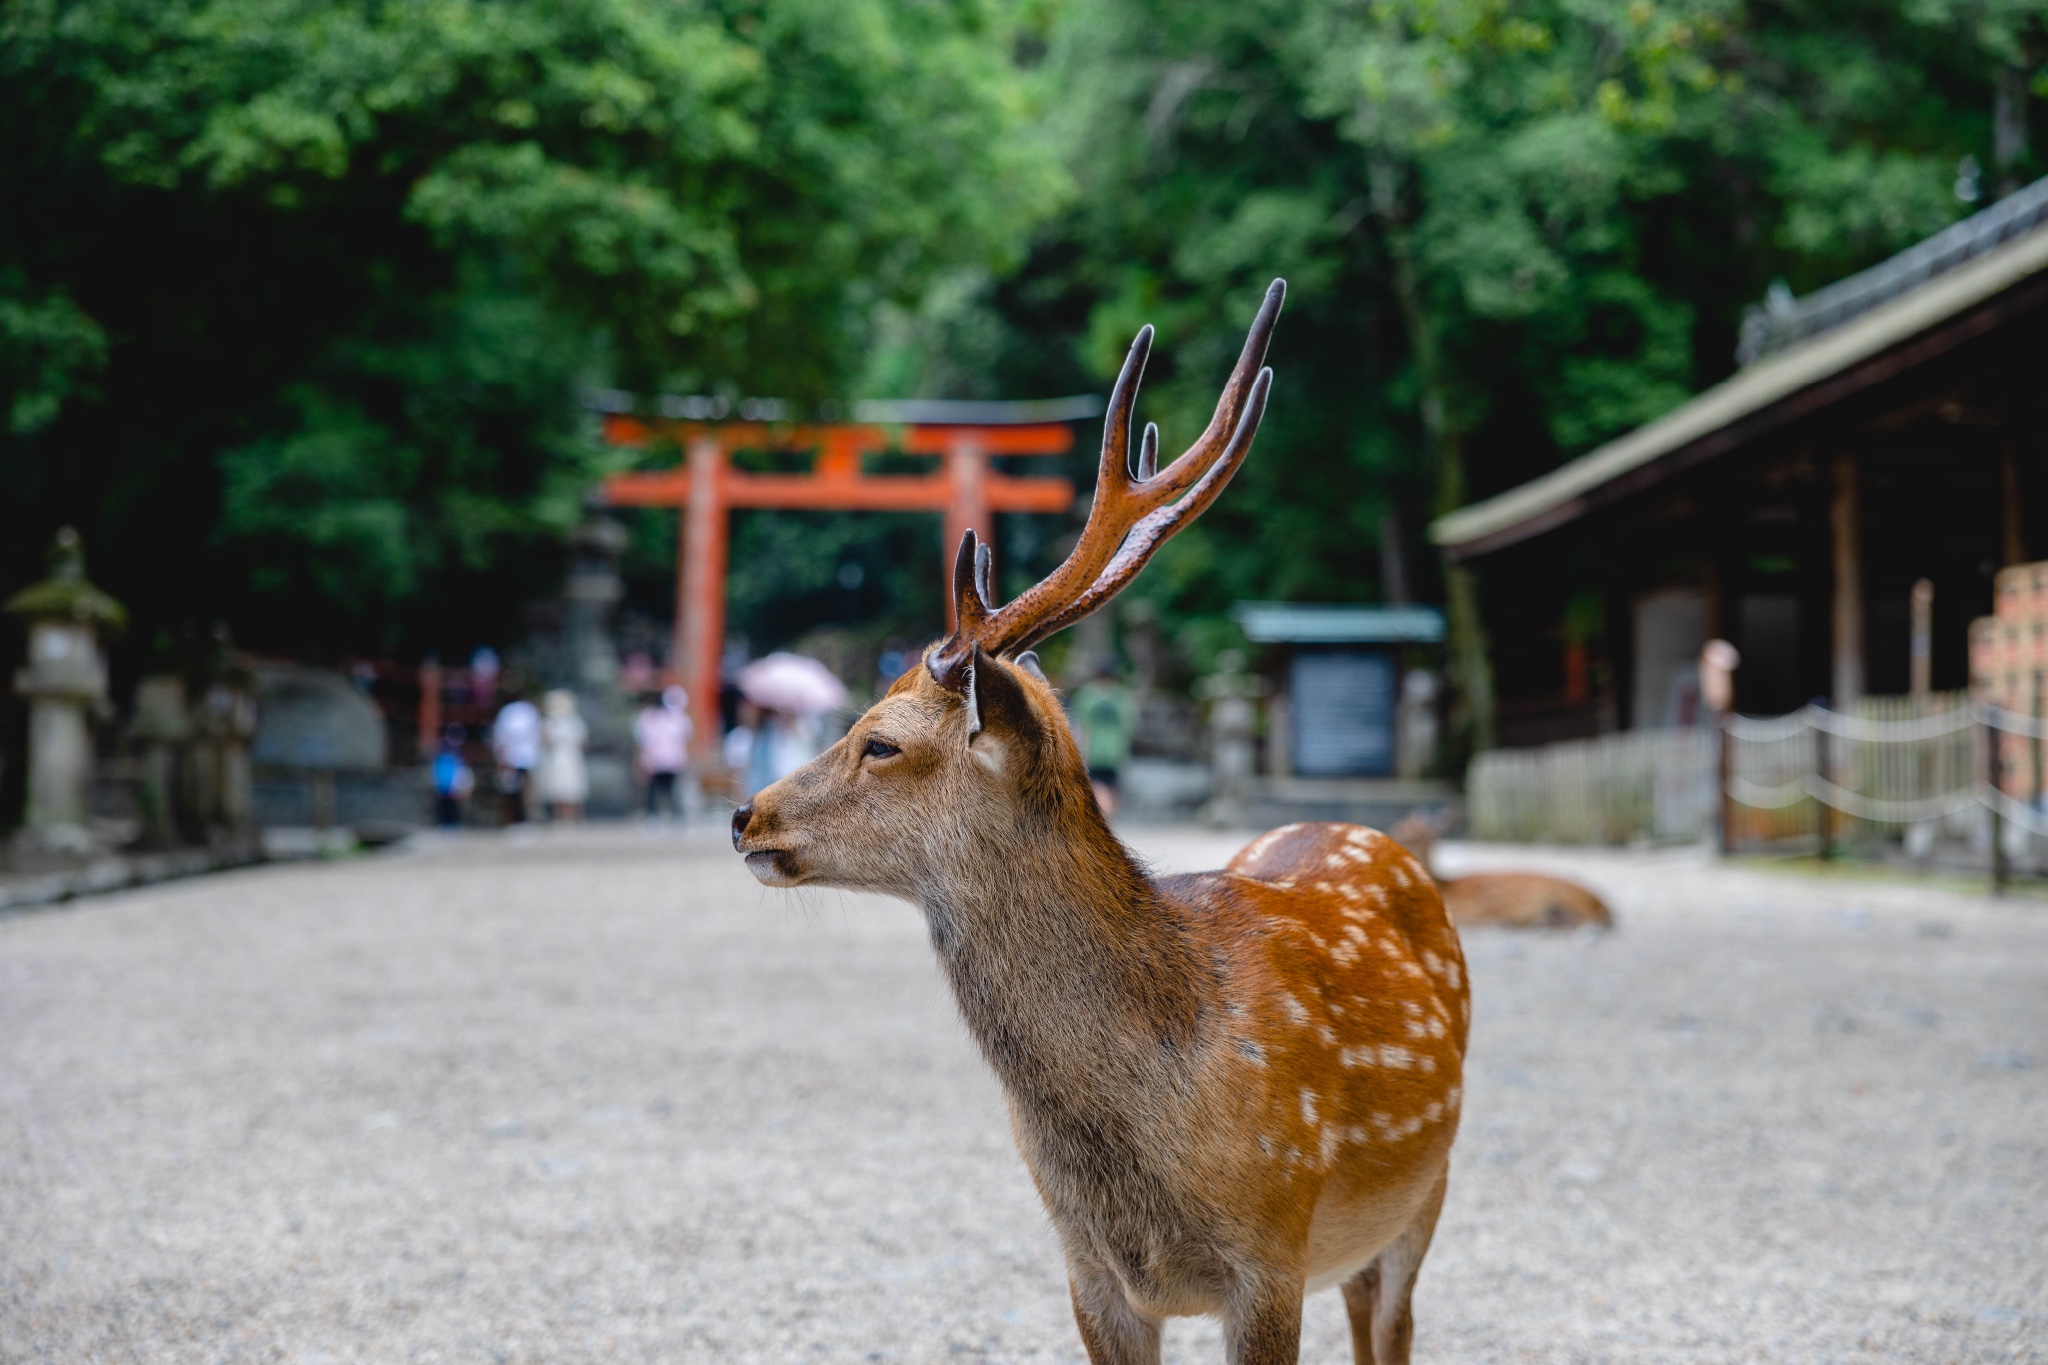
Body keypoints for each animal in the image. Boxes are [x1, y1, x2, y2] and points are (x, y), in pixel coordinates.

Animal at [729, 280, 1466, 1365]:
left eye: (882, 742)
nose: (746, 812)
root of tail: (1383, 840)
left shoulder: (1272, 1252)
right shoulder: (1087, 1269)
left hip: (1423, 1193)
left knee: (1394, 1326)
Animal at [1392, 810, 1613, 929]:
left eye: (1420, 834)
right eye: (1399, 826)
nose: (1397, 843)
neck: (1446, 886)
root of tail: (1603, 905)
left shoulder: (1469, 914)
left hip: (1566, 896)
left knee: (1589, 921)